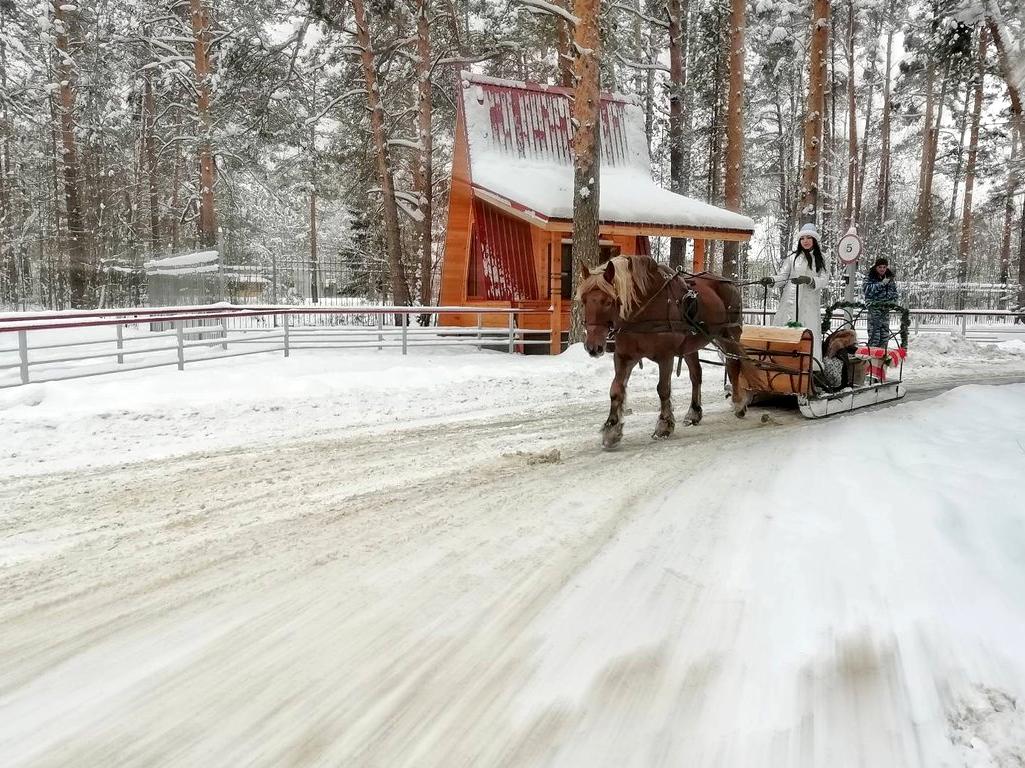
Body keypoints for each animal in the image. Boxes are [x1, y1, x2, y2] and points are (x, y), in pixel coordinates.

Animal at [578, 254, 754, 447]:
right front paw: (611, 429)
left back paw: (739, 403)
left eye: (609, 301)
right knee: (696, 375)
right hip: (690, 346)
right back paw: (694, 412)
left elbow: (663, 389)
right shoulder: (624, 356)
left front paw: (664, 425)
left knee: (734, 364)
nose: (593, 347)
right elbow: (615, 390)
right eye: (584, 300)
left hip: (728, 335)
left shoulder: (665, 356)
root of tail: (729, 282)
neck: (644, 310)